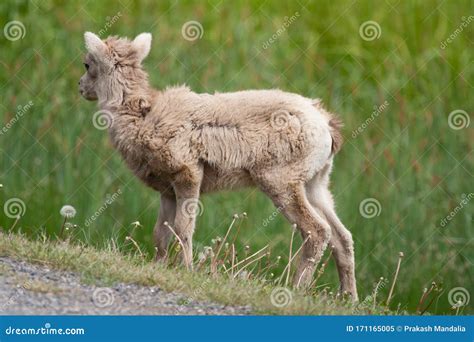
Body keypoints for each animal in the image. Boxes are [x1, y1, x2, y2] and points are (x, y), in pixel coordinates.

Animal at [79, 32, 358, 300]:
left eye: (87, 64)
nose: (80, 87)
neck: (142, 117)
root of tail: (326, 124)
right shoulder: (167, 191)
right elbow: (161, 233)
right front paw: (158, 268)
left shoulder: (188, 175)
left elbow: (183, 228)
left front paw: (185, 270)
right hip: (316, 185)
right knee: (342, 237)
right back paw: (348, 298)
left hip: (281, 182)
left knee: (317, 231)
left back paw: (295, 289)